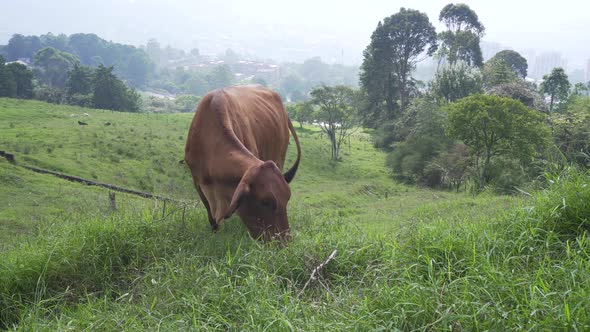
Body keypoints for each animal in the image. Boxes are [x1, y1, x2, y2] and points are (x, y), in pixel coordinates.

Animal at [186, 84, 306, 243]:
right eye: (266, 202)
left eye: (287, 198)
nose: (284, 242)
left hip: (280, 156)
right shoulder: (198, 182)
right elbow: (211, 218)